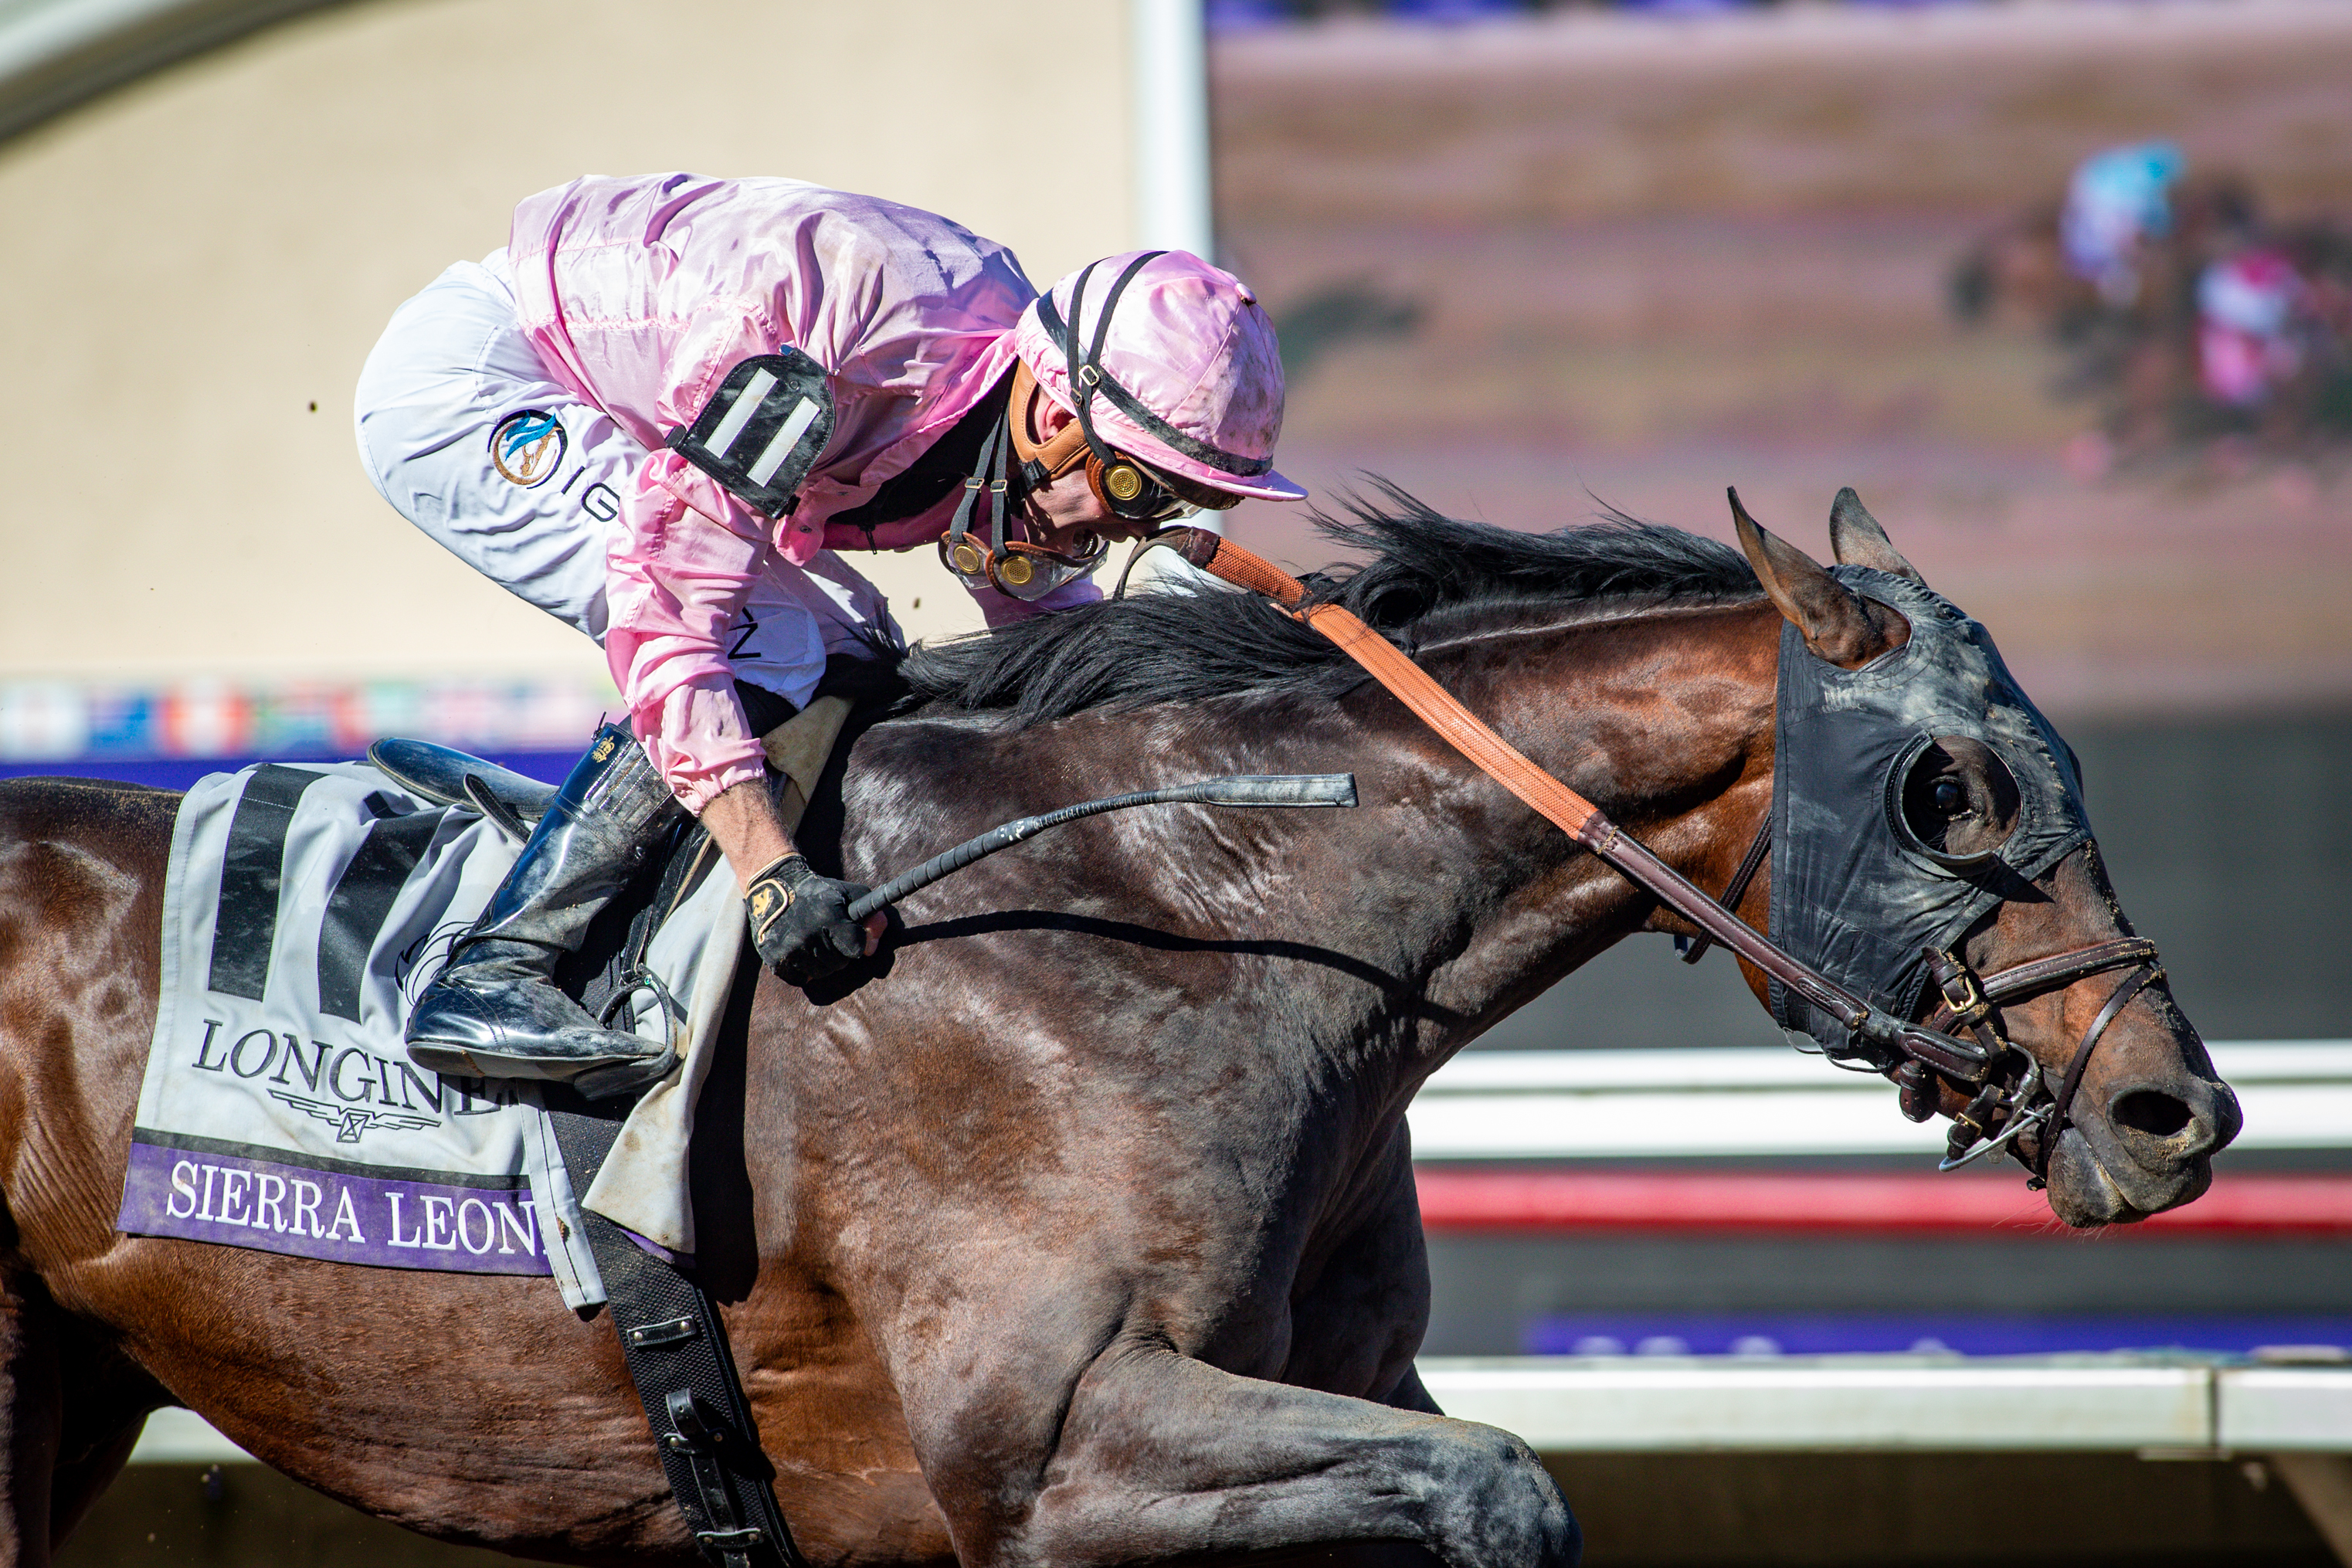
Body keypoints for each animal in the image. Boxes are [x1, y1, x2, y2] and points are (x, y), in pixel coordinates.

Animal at [0, 494, 2238, 1568]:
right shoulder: (1048, 1451)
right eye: (1954, 789)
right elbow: (1510, 1490)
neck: (1195, 927)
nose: (2176, 1108)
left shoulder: (1332, 1397)